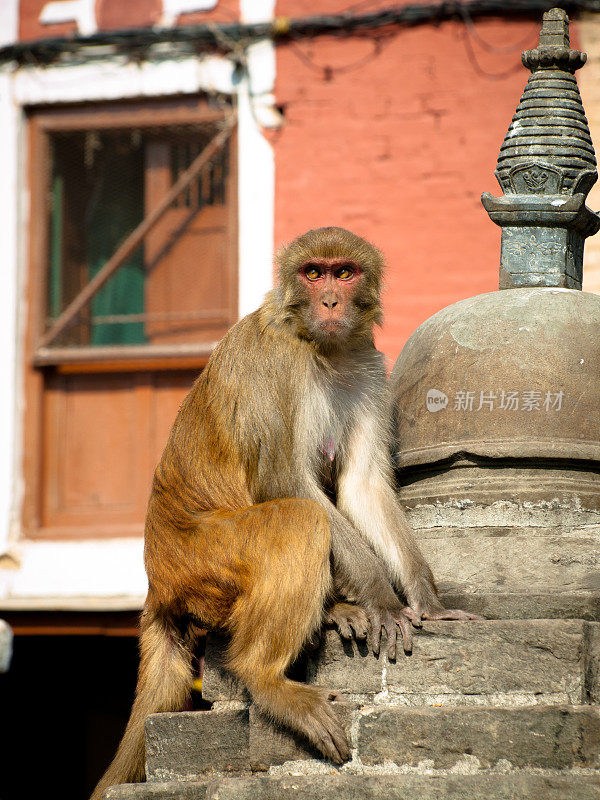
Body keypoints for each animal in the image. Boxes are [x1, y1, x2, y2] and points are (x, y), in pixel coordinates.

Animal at [91, 225, 478, 800]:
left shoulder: (367, 365)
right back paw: (268, 679)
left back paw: (333, 611)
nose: (331, 300)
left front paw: (425, 600)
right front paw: (383, 599)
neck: (320, 346)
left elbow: (364, 487)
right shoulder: (278, 364)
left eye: (344, 273)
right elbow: (287, 482)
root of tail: (158, 580)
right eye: (312, 273)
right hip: (201, 562)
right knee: (300, 520)